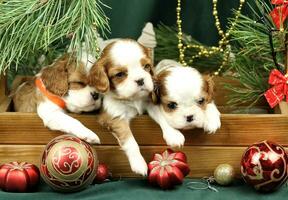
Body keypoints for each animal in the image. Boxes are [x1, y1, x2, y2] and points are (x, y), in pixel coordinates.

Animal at [90, 38, 154, 175]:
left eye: (146, 66)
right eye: (119, 74)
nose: (140, 80)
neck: (133, 99)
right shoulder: (115, 117)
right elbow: (131, 141)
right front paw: (139, 163)